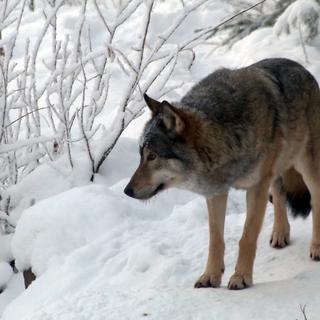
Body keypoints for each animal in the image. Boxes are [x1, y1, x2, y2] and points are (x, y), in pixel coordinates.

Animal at [123, 58, 320, 290]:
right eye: (141, 155)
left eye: (153, 156)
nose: (127, 191)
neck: (225, 136)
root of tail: (301, 68)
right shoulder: (216, 193)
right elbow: (215, 239)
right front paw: (210, 276)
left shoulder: (256, 187)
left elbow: (247, 237)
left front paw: (241, 277)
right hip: (277, 170)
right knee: (280, 195)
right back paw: (280, 234)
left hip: (306, 166)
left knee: (315, 199)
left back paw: (316, 247)